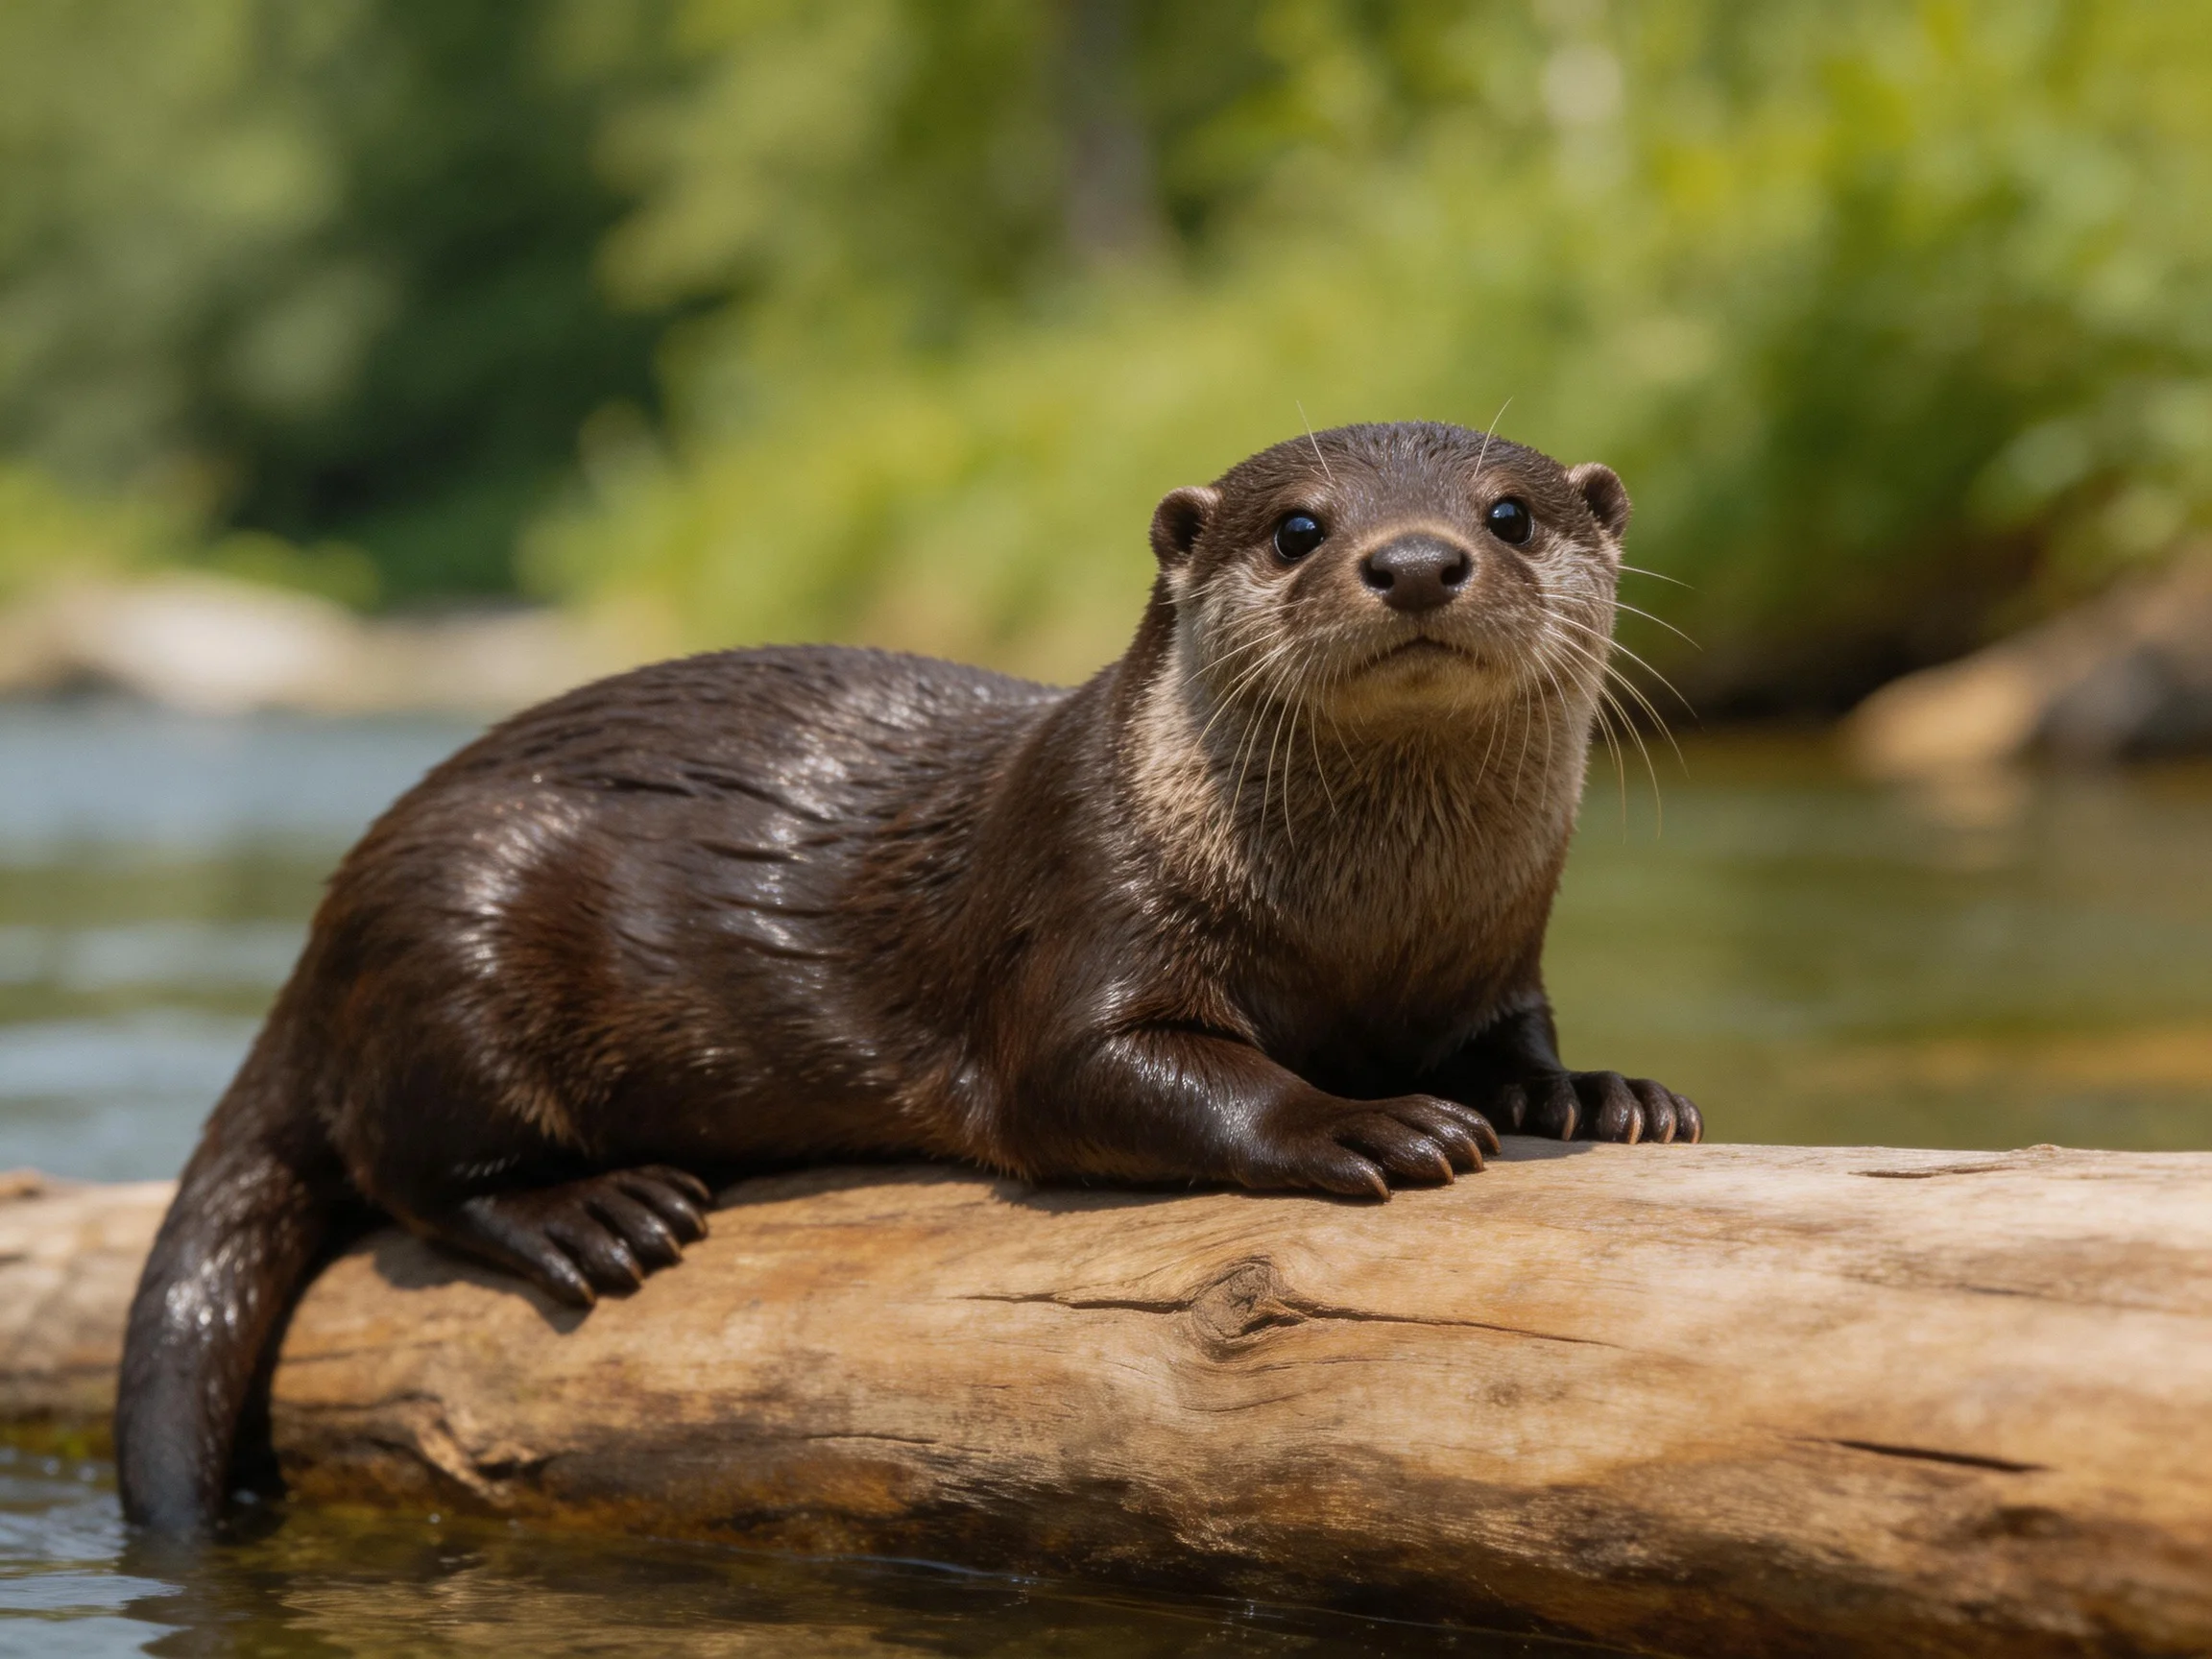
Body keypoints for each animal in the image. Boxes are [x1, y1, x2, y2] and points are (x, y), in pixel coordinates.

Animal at [116, 420, 1699, 1533]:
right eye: (1300, 526)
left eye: (1509, 513)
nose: (1417, 559)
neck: (1358, 938)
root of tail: (331, 922)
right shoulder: (1081, 905)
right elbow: (1138, 1071)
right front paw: (1361, 1120)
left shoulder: (1489, 963)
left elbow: (1516, 1046)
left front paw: (1603, 1094)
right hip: (457, 931)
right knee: (413, 1166)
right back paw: (592, 1213)